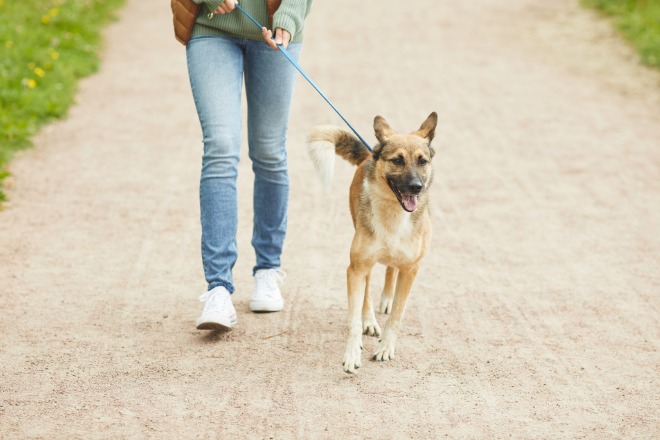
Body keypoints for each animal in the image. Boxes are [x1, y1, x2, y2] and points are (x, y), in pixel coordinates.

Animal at [310, 111, 438, 372]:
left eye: (422, 161)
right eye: (398, 160)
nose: (416, 187)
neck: (394, 213)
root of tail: (371, 152)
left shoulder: (411, 269)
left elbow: (397, 315)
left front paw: (385, 348)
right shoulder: (356, 267)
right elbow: (353, 319)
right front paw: (352, 353)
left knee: (391, 269)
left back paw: (387, 298)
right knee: (368, 290)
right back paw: (369, 319)